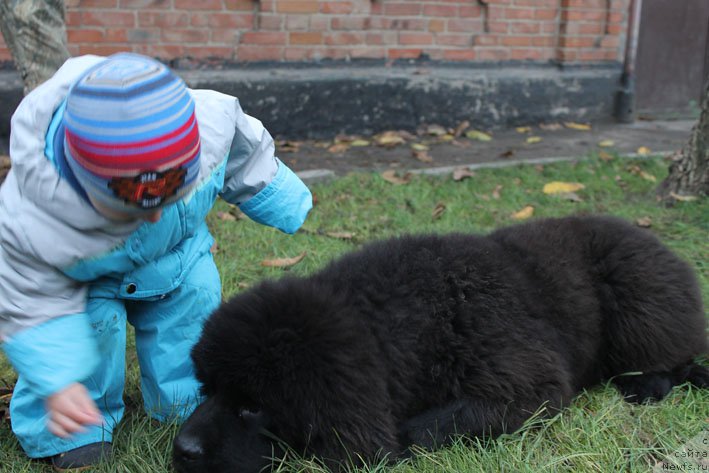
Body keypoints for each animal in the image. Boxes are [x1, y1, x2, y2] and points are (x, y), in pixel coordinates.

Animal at [173, 216, 708, 472]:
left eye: (254, 406)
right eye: (208, 391)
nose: (182, 451)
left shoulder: (531, 386)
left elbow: (420, 430)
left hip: (636, 300)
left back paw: (650, 384)